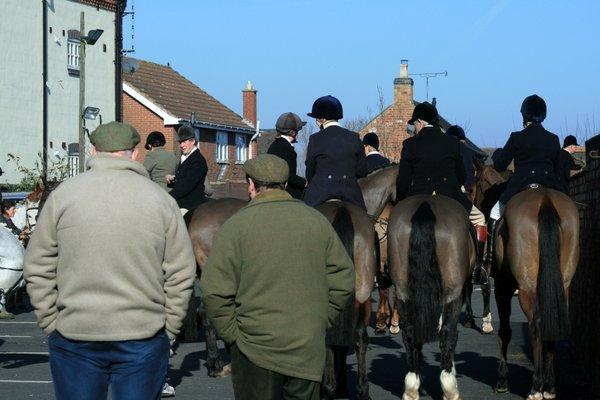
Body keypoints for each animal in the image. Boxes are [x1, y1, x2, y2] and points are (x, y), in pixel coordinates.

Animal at [388, 195, 474, 400]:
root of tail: (425, 204)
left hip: (402, 292)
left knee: (409, 333)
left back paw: (411, 386)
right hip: (453, 292)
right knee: (448, 332)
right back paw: (450, 388)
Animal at [493, 187, 579, 399]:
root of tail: (545, 199)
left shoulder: (501, 285)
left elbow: (504, 331)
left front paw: (502, 380)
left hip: (527, 286)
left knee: (537, 324)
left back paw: (536, 386)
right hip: (563, 284)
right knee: (553, 320)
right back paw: (549, 386)